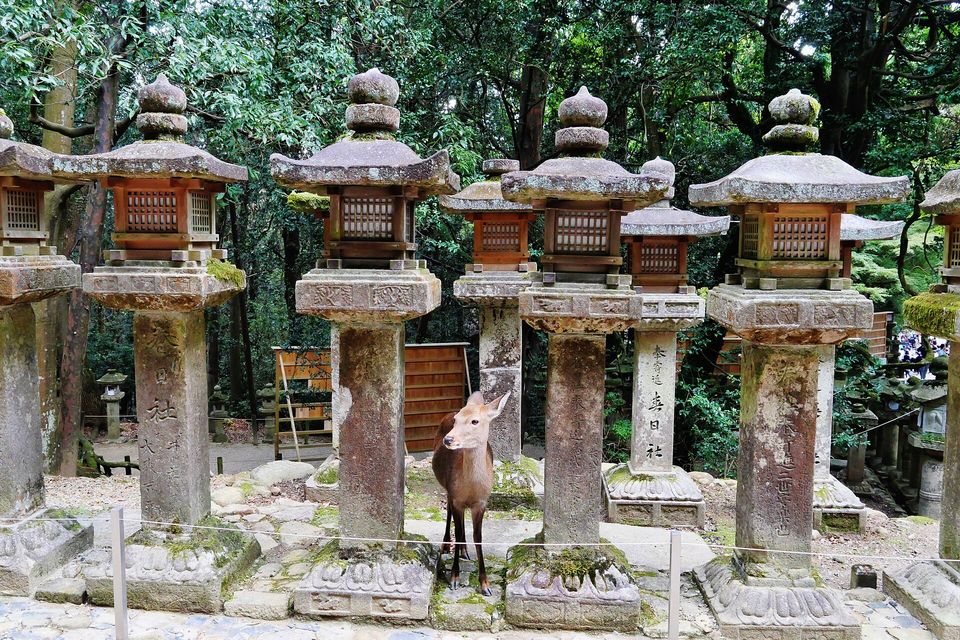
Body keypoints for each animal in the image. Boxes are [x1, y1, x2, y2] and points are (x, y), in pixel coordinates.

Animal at [432, 391, 510, 596]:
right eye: (457, 420)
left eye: (475, 421)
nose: (448, 440)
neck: (471, 487)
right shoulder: (457, 497)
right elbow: (458, 532)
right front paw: (454, 578)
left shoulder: (481, 502)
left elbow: (478, 537)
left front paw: (485, 585)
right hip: (447, 488)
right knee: (449, 514)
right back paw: (446, 545)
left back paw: (465, 552)